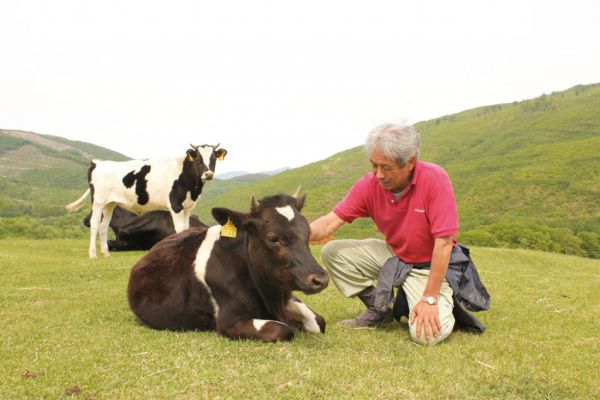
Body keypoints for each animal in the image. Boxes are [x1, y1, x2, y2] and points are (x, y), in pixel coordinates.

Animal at [64, 145, 226, 258]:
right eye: (198, 160)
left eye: (213, 159)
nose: (208, 174)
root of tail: (97, 163)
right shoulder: (175, 204)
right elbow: (180, 229)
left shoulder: (188, 207)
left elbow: (187, 229)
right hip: (98, 201)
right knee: (95, 225)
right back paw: (93, 255)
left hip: (109, 204)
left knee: (103, 226)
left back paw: (106, 254)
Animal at [126, 187, 330, 340]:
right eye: (273, 238)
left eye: (309, 232)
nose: (320, 279)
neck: (271, 299)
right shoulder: (229, 322)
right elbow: (281, 329)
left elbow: (319, 321)